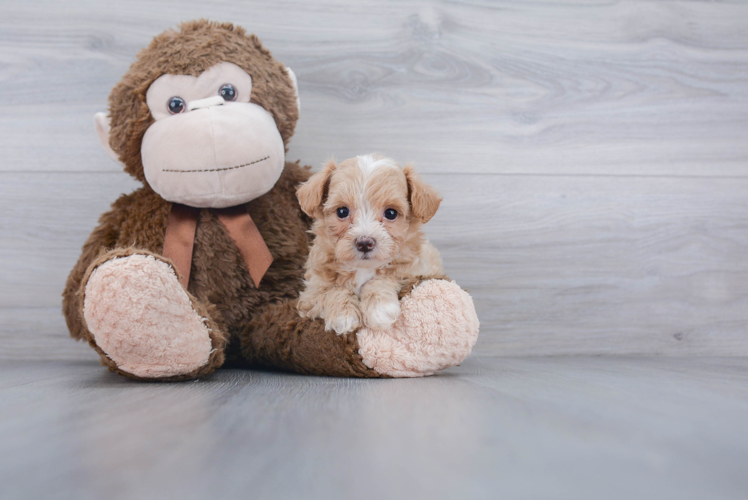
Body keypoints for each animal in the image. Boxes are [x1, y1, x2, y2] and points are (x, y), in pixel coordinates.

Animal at [296, 154, 444, 334]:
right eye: (342, 211)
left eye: (391, 213)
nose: (365, 243)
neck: (362, 268)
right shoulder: (311, 293)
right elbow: (333, 289)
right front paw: (342, 314)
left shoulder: (417, 273)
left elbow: (384, 277)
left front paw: (380, 308)